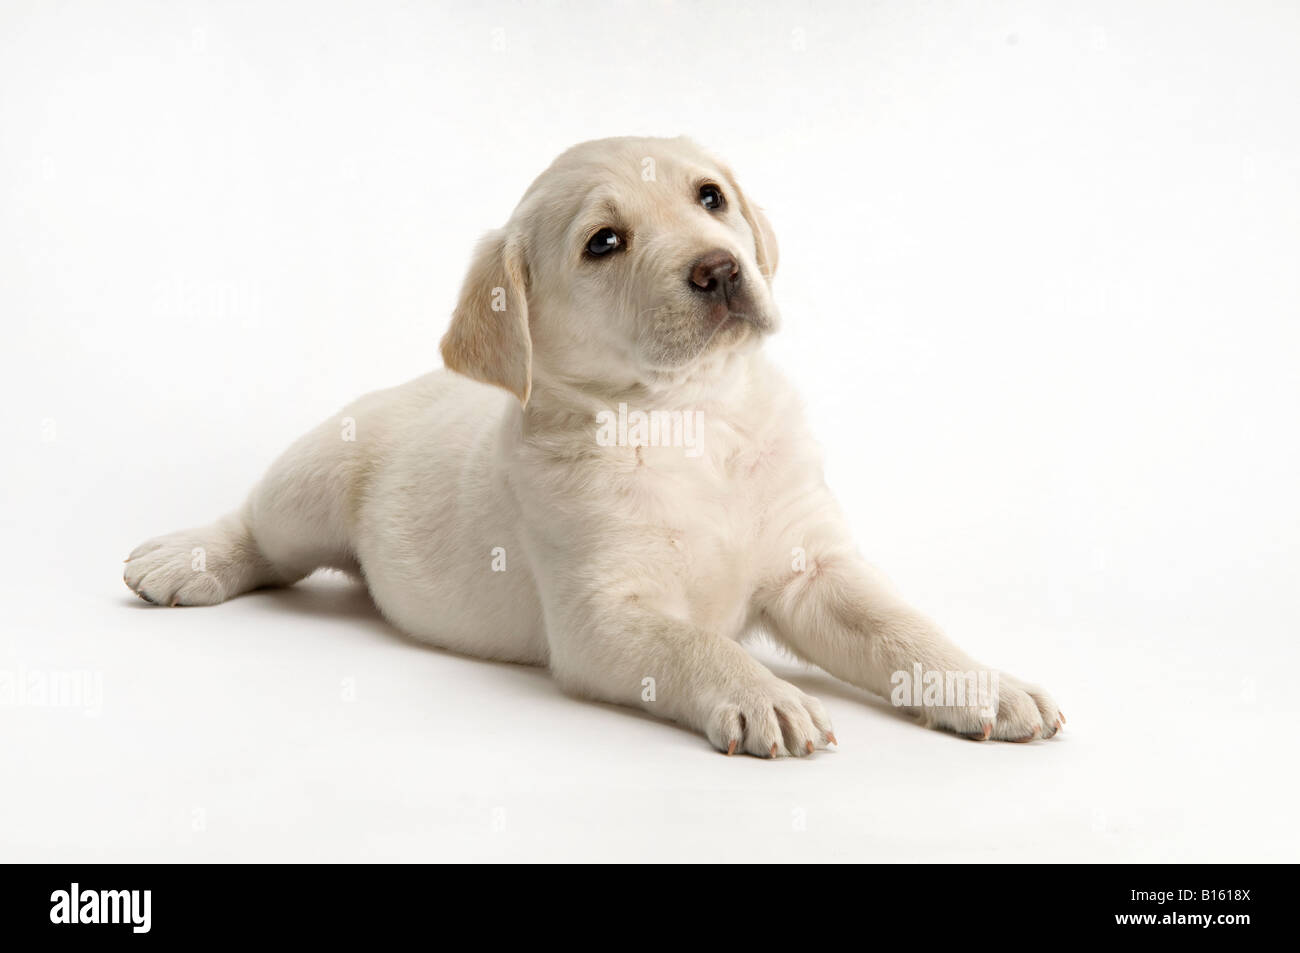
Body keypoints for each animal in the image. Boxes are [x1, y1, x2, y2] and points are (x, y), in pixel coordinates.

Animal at [122, 137, 1060, 754]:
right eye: (604, 242)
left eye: (710, 197)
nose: (722, 269)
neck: (691, 422)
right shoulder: (604, 615)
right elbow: (698, 644)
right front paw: (764, 692)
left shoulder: (814, 567)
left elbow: (904, 627)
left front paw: (980, 681)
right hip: (310, 484)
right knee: (257, 531)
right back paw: (185, 559)